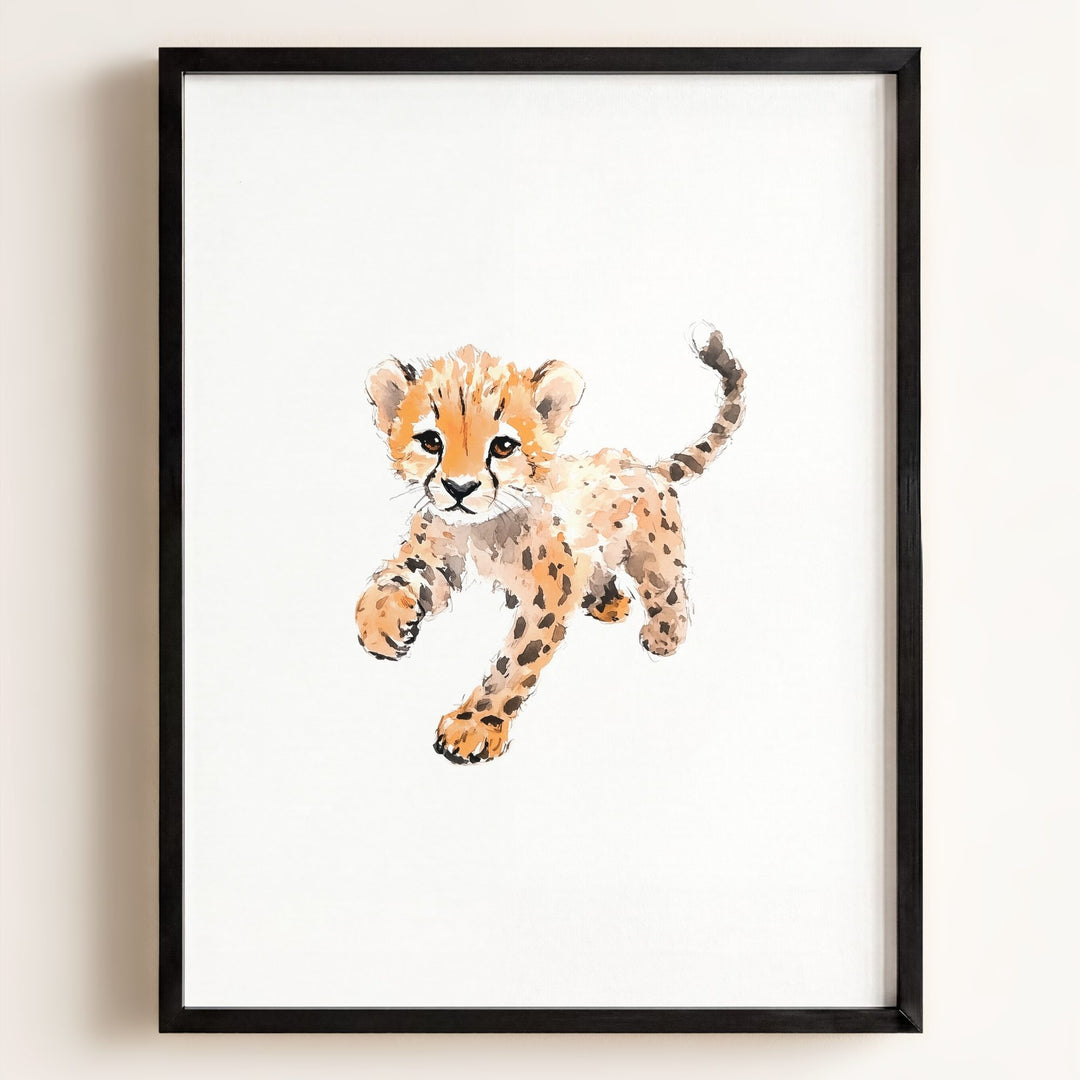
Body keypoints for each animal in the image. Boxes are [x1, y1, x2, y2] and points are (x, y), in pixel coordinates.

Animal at [355, 325, 746, 764]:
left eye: (503, 446)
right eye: (430, 442)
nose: (459, 488)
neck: (482, 529)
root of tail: (643, 464)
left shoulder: (549, 593)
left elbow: (513, 664)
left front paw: (475, 725)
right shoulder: (433, 555)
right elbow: (388, 583)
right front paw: (382, 628)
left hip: (653, 552)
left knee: (667, 587)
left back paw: (664, 635)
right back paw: (608, 602)